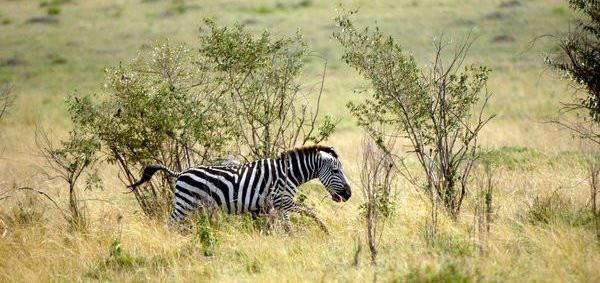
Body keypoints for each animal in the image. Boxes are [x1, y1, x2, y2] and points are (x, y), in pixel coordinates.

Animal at [127, 145, 352, 225]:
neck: (289, 175)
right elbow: (311, 212)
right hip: (184, 204)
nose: (348, 194)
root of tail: (181, 172)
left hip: (194, 206)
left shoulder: (278, 205)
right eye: (336, 171)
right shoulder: (283, 200)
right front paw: (325, 230)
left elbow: (286, 225)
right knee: (171, 224)